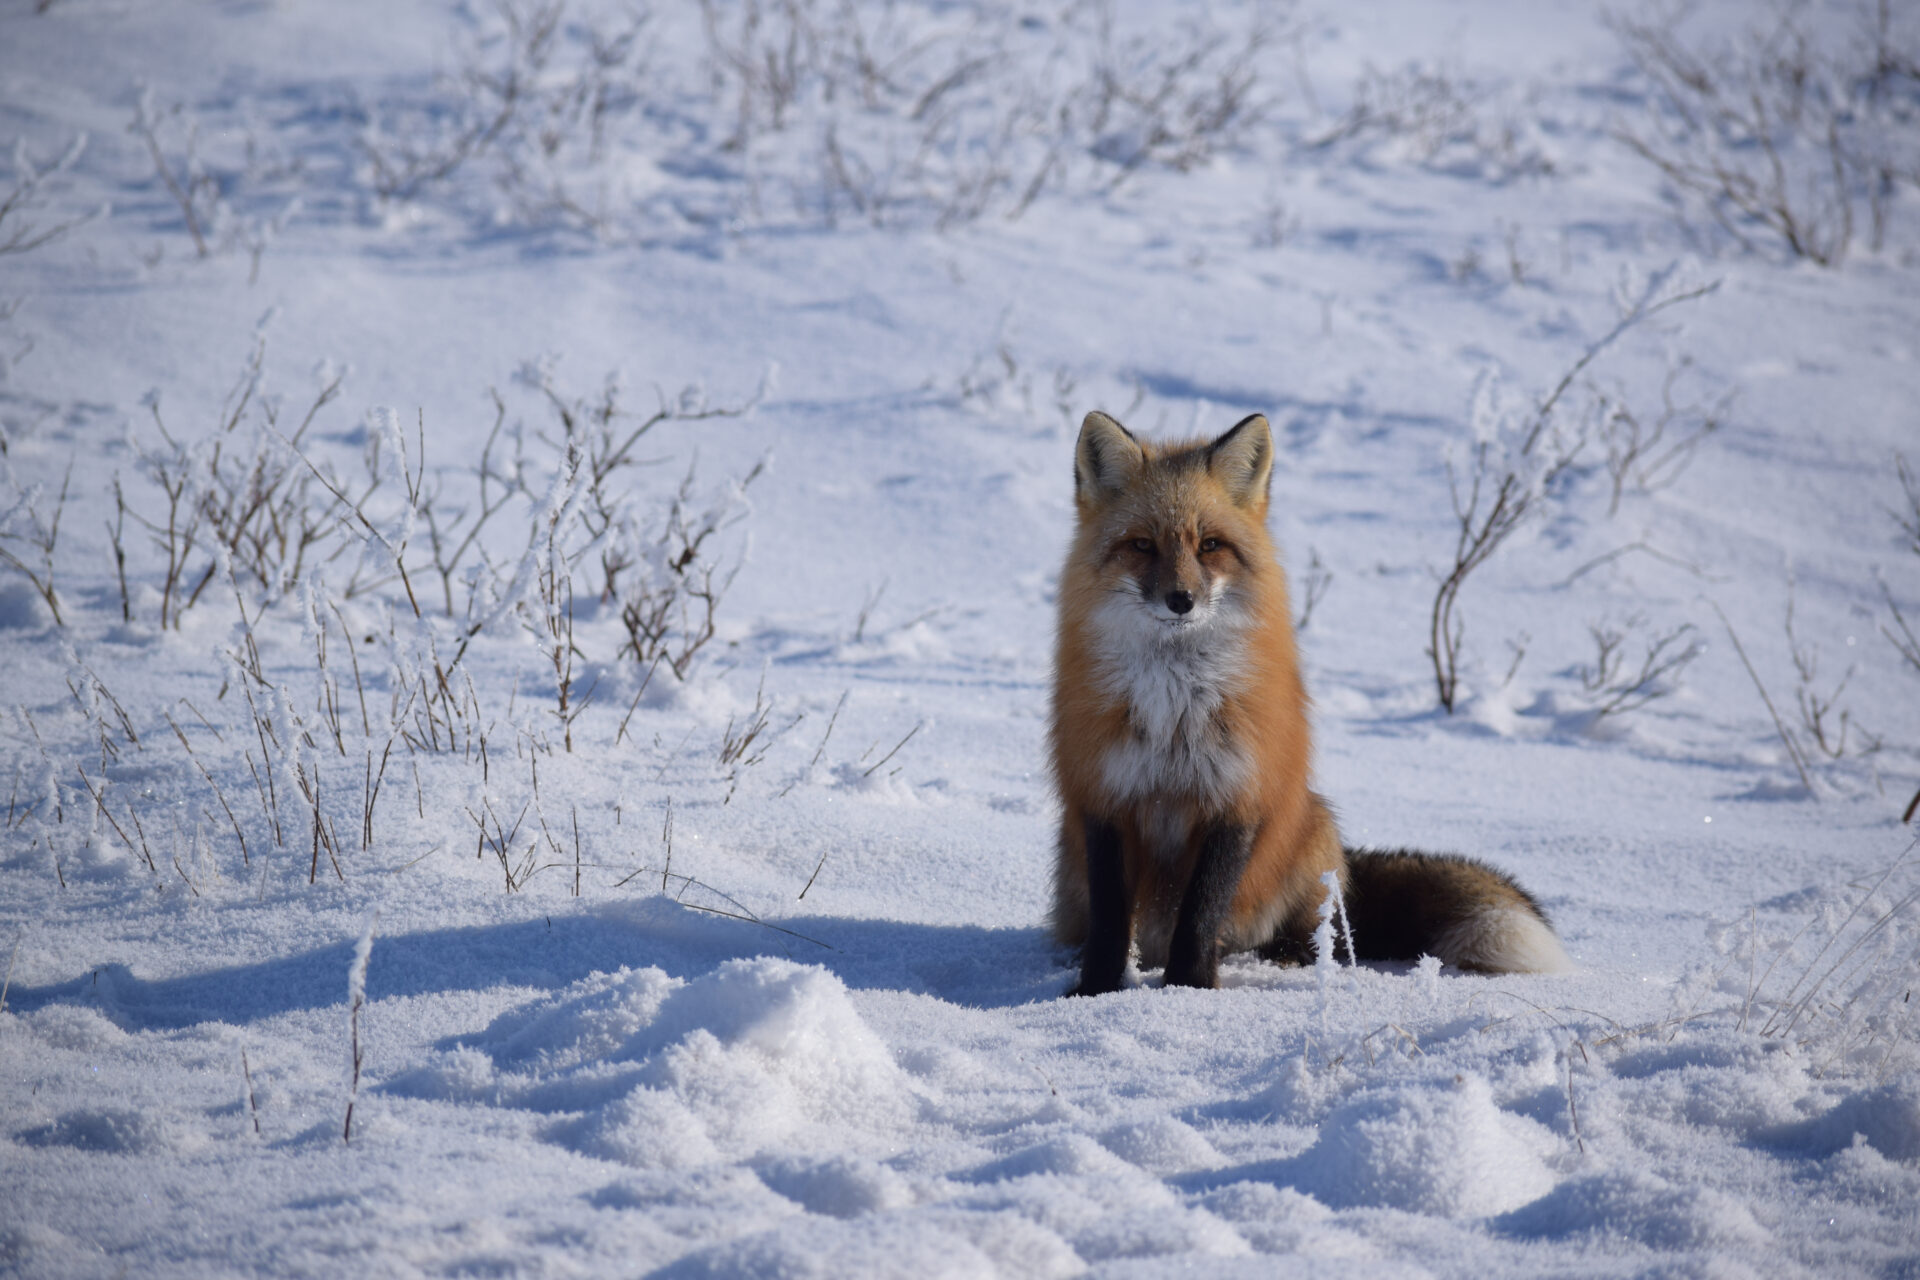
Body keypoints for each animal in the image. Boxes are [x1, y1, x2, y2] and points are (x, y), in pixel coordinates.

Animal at [1049, 409, 1571, 995]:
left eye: (1209, 545)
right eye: (1142, 545)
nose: (1180, 600)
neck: (1175, 709)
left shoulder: (1238, 796)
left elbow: (1202, 912)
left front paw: (1190, 990)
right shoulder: (1104, 795)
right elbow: (1111, 920)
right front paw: (1094, 992)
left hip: (1313, 833)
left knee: (1324, 938)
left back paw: (1283, 959)